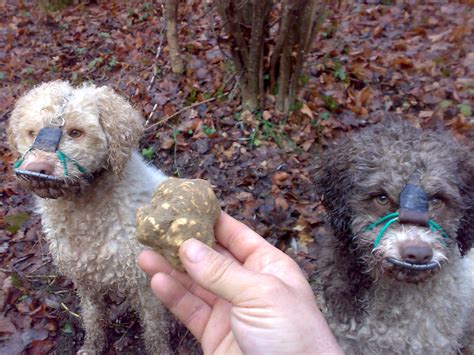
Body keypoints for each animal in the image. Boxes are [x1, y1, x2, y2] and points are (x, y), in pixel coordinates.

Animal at [8, 82, 171, 354]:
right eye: (32, 132)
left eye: (76, 132)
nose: (38, 169)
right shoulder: (84, 280)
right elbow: (93, 316)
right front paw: (92, 346)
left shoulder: (144, 282)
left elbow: (155, 328)